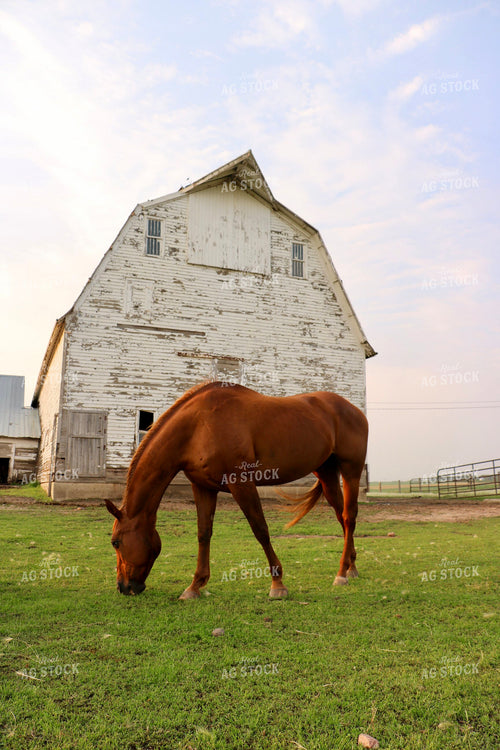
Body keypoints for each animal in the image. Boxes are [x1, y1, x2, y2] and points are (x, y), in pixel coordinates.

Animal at [105, 381, 369, 599]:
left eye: (115, 542)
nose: (124, 587)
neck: (198, 425)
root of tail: (355, 411)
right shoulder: (202, 487)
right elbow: (204, 533)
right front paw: (195, 586)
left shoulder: (241, 482)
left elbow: (260, 529)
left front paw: (278, 584)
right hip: (326, 473)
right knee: (342, 519)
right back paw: (351, 567)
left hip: (351, 471)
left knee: (349, 517)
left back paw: (342, 573)